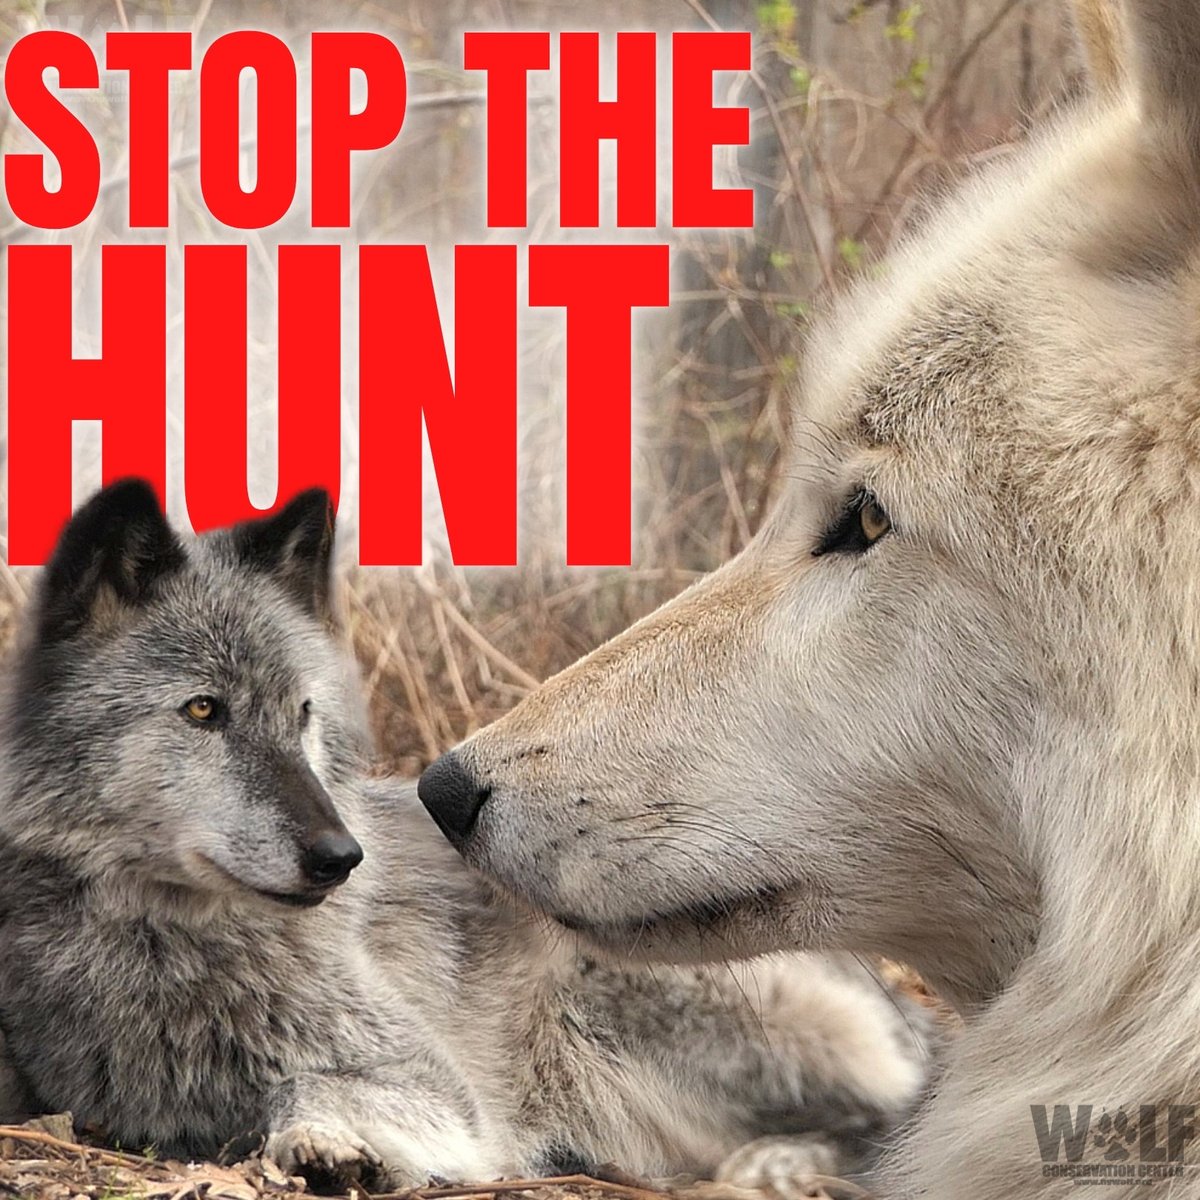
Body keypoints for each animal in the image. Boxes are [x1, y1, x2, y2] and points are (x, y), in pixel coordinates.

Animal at [0, 479, 931, 1191]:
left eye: (302, 714)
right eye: (203, 711)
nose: (342, 858)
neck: (167, 942)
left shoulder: (429, 1080)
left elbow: (303, 1091)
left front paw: (328, 1145)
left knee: (897, 1110)